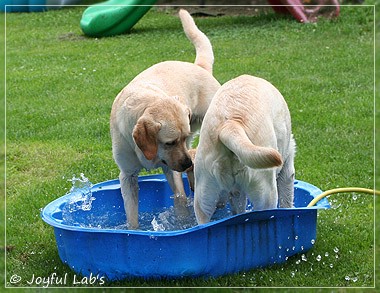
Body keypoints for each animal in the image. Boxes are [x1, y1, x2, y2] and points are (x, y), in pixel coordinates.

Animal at [194, 74, 296, 222]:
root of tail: (231, 124)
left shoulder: (236, 192)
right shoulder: (287, 167)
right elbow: (286, 199)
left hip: (203, 198)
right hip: (267, 194)